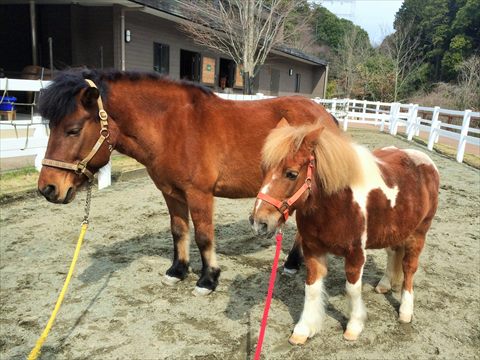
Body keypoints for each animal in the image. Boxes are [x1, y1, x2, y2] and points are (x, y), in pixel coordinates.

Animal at [36, 69, 338, 296]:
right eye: (51, 127)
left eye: (73, 130)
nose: (48, 188)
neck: (171, 126)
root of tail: (325, 116)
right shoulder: (171, 193)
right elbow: (179, 231)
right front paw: (178, 271)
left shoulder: (199, 194)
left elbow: (204, 236)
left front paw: (208, 279)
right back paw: (293, 262)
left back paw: (292, 262)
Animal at [251, 121, 438, 346]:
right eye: (263, 170)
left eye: (291, 174)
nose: (259, 223)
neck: (337, 204)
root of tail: (424, 160)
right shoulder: (312, 250)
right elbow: (311, 288)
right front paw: (304, 329)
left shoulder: (356, 253)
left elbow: (352, 289)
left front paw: (354, 326)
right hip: (395, 230)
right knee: (393, 254)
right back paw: (384, 284)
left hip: (418, 234)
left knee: (409, 268)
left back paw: (405, 311)